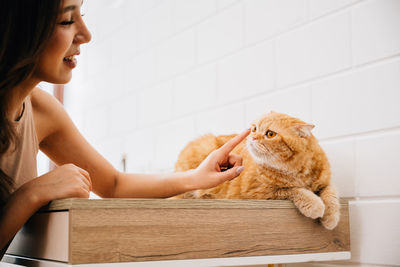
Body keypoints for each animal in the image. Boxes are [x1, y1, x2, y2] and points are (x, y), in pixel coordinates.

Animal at [173, 111, 340, 230]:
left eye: (270, 134)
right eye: (254, 129)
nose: (252, 137)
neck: (297, 172)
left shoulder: (325, 182)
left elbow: (331, 195)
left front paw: (331, 218)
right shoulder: (259, 193)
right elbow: (294, 190)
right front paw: (315, 205)